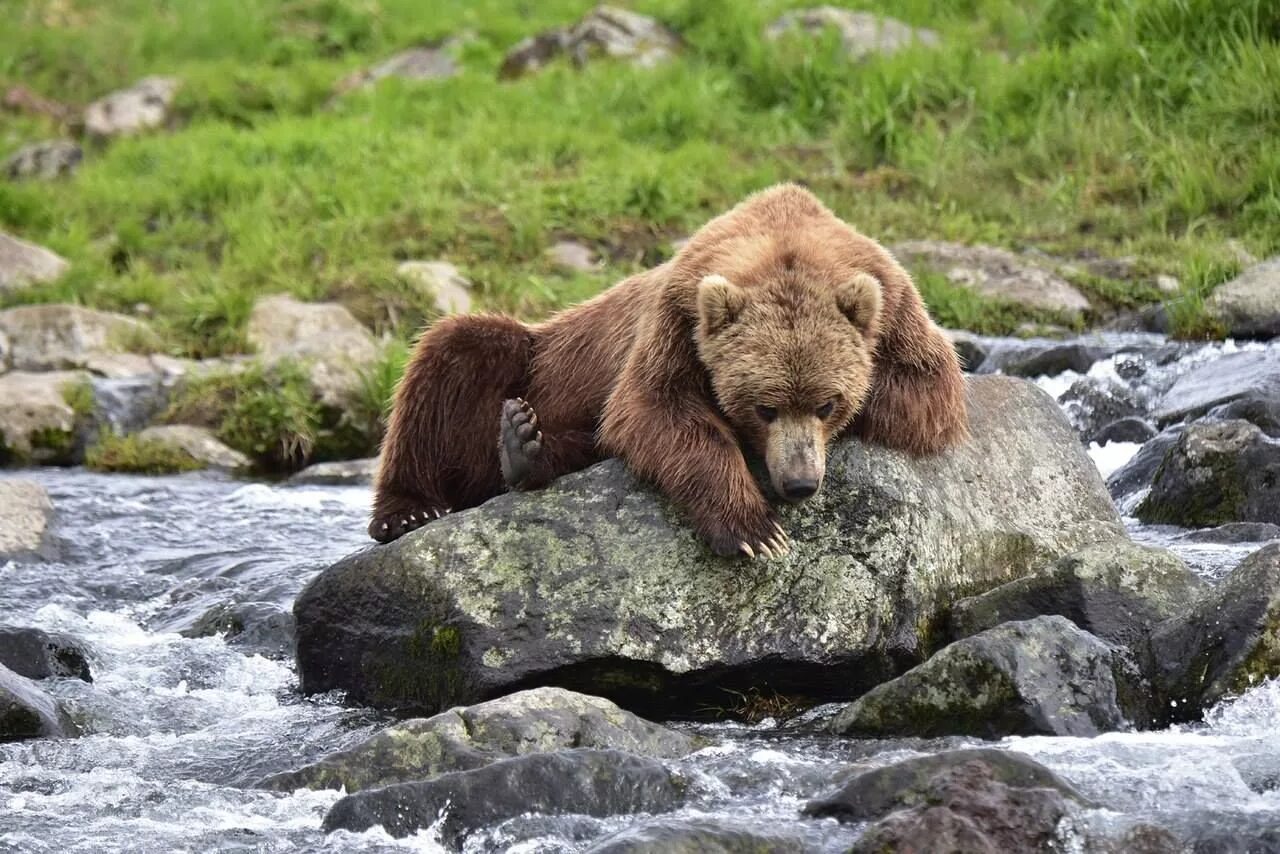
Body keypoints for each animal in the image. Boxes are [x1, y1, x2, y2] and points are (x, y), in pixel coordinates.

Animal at [373, 184, 962, 558]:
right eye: (764, 407)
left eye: (826, 403)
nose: (799, 483)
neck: (784, 241)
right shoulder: (676, 321)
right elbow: (657, 409)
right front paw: (753, 529)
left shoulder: (898, 308)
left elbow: (927, 394)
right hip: (540, 357)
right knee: (451, 357)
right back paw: (412, 508)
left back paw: (525, 447)